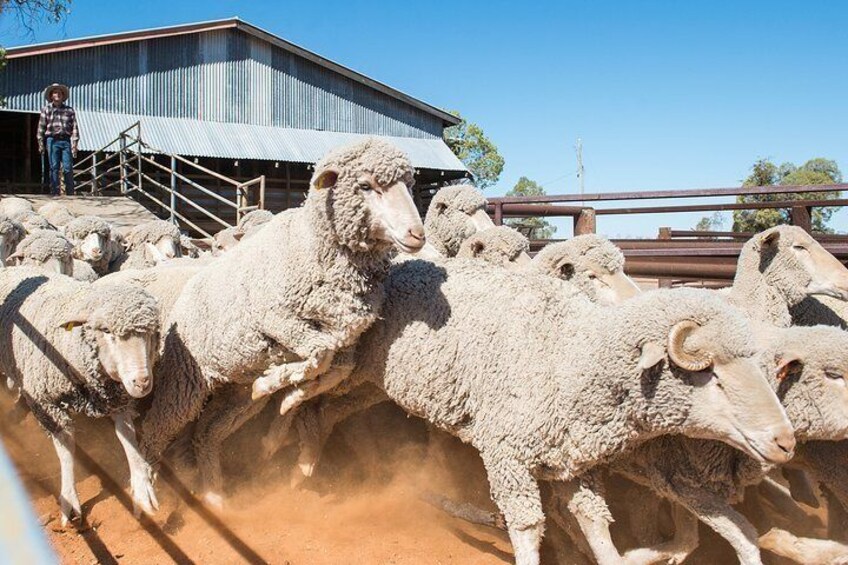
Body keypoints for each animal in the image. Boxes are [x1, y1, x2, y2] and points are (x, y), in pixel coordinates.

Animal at [0, 268, 160, 525]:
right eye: (106, 331)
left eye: (151, 333)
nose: (142, 382)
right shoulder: (48, 405)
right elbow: (67, 450)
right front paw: (69, 499)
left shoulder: (118, 401)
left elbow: (128, 438)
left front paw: (142, 489)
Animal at [137, 138, 426, 507]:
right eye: (365, 185)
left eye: (409, 184)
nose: (417, 234)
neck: (312, 244)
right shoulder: (277, 319)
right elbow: (319, 355)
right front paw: (278, 386)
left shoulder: (346, 341)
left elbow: (333, 369)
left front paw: (284, 394)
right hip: (185, 382)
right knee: (155, 430)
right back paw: (145, 489)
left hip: (237, 393)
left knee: (208, 432)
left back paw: (214, 493)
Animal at [333, 259, 793, 565]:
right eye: (712, 374)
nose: (785, 441)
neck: (569, 354)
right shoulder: (507, 455)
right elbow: (526, 528)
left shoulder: (573, 462)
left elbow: (596, 526)